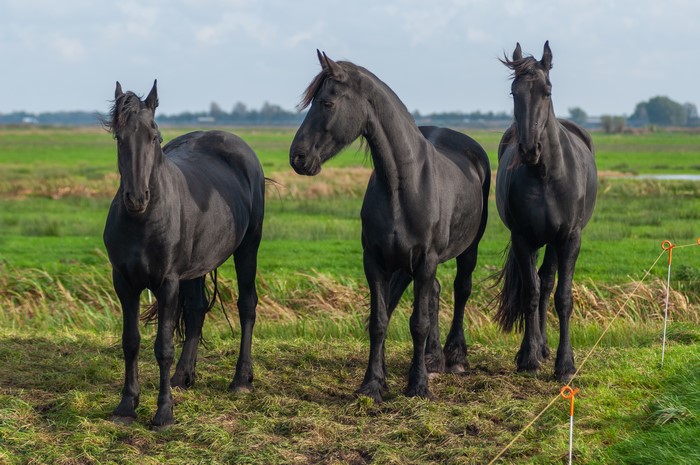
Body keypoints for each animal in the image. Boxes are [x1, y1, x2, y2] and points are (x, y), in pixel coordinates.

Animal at [103, 80, 265, 428]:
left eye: (154, 136)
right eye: (119, 138)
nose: (136, 198)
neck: (143, 221)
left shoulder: (167, 283)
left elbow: (163, 347)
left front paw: (164, 413)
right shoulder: (124, 282)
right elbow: (130, 342)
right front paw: (126, 406)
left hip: (248, 248)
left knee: (247, 305)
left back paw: (241, 380)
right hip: (196, 267)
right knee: (196, 309)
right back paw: (183, 376)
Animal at [290, 51, 490, 402]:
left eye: (327, 103)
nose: (297, 157)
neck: (403, 184)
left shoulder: (425, 261)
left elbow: (418, 323)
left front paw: (418, 385)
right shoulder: (376, 261)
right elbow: (379, 321)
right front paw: (372, 383)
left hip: (468, 249)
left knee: (461, 290)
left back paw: (454, 359)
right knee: (434, 293)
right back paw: (433, 358)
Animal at [495, 42, 597, 382]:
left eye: (547, 91)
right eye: (514, 92)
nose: (529, 150)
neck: (545, 176)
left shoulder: (569, 239)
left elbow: (562, 297)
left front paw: (565, 364)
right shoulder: (523, 239)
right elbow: (530, 293)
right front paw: (528, 357)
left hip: (554, 243)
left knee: (548, 282)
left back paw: (546, 349)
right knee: (539, 286)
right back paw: (537, 348)